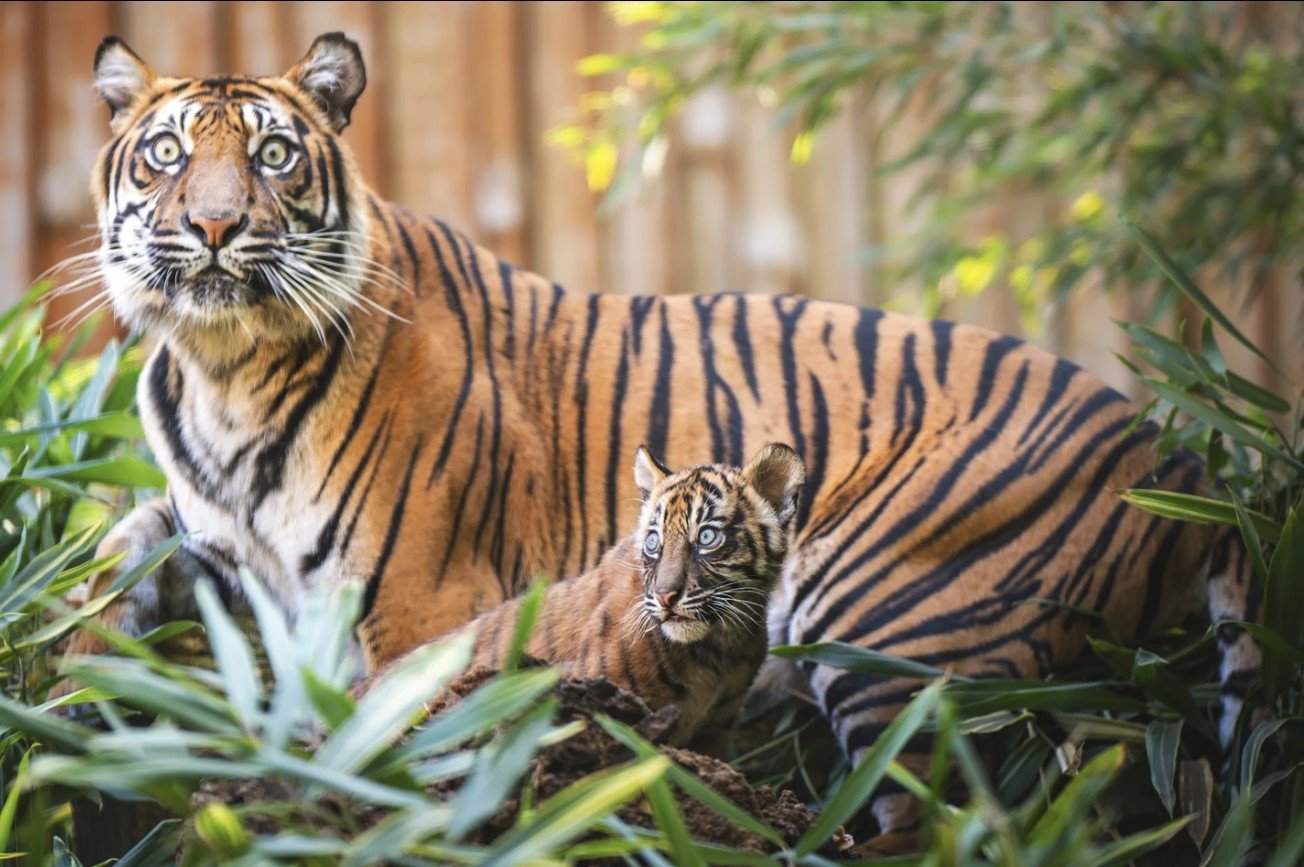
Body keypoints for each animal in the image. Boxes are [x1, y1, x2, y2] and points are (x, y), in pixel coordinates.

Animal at [68, 32, 1251, 834]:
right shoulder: (205, 532)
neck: (226, 368)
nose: (214, 226)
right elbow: (105, 564)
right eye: (166, 154)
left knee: (957, 811)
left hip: (881, 612)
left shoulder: (420, 600)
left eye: (272, 156)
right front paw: (74, 702)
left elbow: (405, 725)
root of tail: (1170, 451)